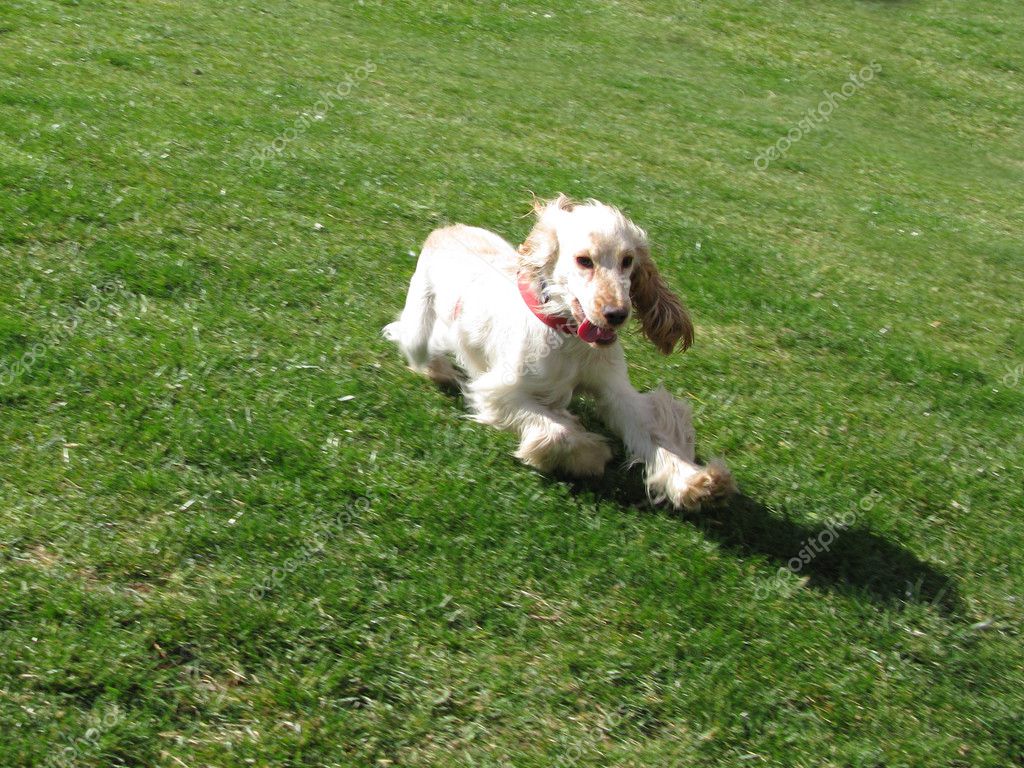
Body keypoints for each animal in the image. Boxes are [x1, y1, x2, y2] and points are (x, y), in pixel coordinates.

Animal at [385, 196, 737, 512]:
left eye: (627, 261)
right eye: (584, 260)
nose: (617, 314)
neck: (570, 339)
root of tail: (443, 231)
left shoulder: (615, 391)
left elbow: (655, 433)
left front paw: (696, 483)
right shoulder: (500, 391)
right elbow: (557, 434)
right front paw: (591, 454)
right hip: (420, 327)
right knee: (417, 341)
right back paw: (438, 370)